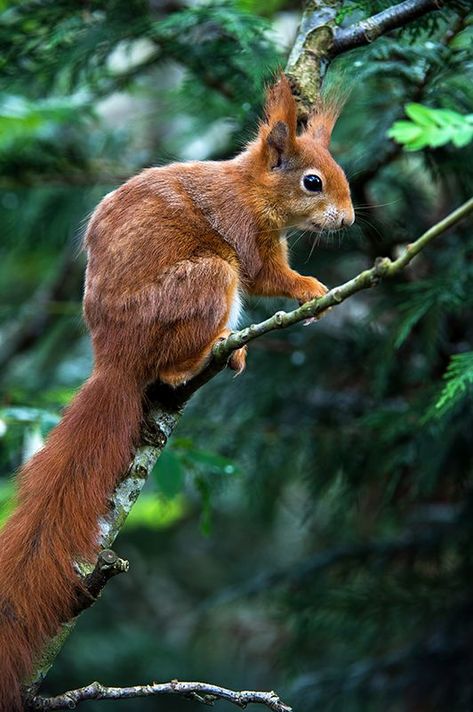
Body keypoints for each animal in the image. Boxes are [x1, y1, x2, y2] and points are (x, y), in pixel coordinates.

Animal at [0, 73, 350, 708]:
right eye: (312, 181)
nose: (350, 220)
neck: (252, 188)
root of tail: (114, 360)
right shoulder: (248, 237)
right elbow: (269, 276)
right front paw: (312, 288)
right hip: (207, 279)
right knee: (168, 365)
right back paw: (201, 359)